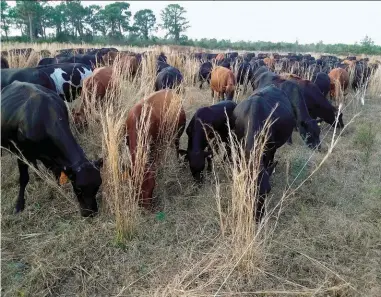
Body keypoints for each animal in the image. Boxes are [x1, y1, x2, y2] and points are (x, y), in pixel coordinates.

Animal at [1, 80, 102, 215]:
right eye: (78, 188)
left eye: (97, 186)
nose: (90, 213)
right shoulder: (21, 152)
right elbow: (23, 179)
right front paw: (19, 205)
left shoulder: (52, 157)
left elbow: (56, 172)